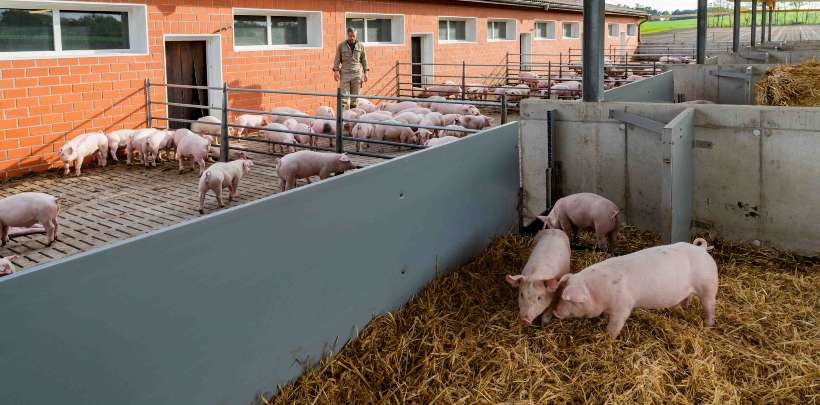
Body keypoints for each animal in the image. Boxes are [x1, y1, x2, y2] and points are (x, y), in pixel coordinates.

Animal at [552, 237, 716, 338]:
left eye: (570, 300)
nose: (555, 312)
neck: (597, 291)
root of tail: (702, 249)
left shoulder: (623, 306)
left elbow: (615, 325)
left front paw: (607, 337)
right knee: (688, 298)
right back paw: (685, 309)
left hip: (709, 286)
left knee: (709, 307)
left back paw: (707, 326)